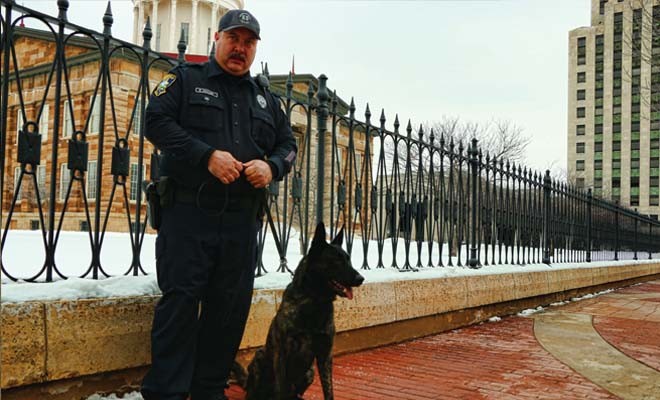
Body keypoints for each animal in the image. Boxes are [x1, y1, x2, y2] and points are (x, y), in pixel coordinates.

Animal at [235, 222, 364, 400]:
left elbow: (329, 390)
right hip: (259, 358)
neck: (314, 300)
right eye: (336, 261)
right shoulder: (282, 354)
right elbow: (281, 388)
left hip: (310, 372)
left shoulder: (325, 355)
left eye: (348, 259)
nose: (361, 279)